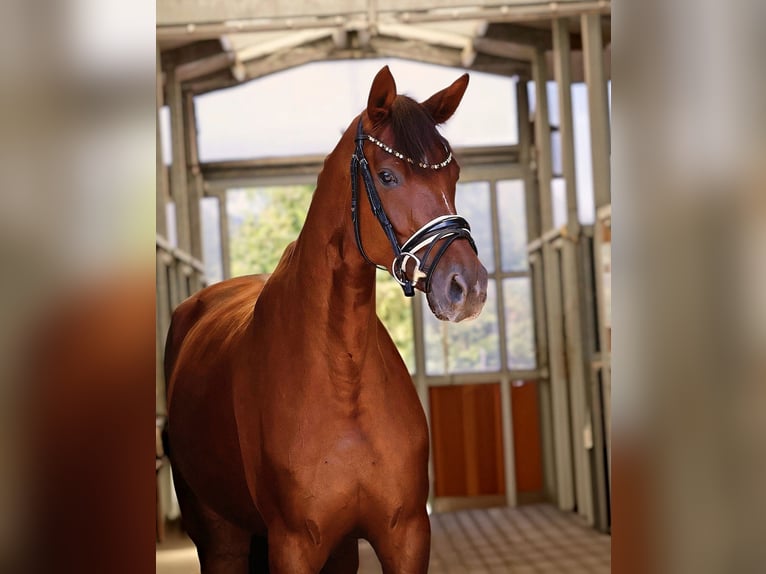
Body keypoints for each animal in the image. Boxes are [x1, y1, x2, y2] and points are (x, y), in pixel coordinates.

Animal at [164, 65, 488, 573]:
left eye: (453, 174)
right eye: (388, 175)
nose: (467, 285)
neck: (342, 378)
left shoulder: (406, 535)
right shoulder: (294, 544)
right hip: (221, 539)